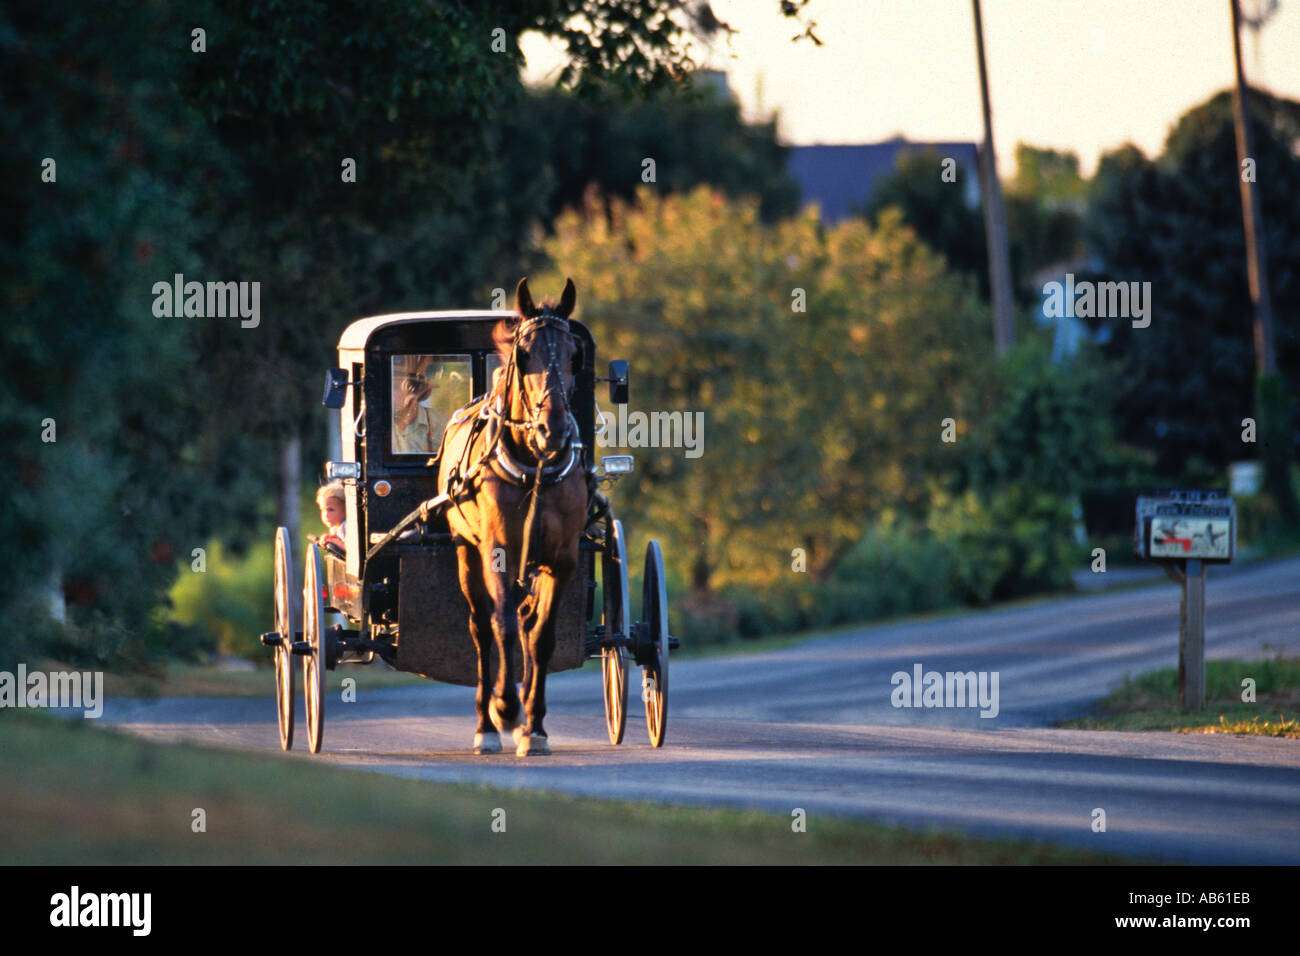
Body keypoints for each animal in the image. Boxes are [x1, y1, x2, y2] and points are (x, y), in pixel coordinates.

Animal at [436, 277, 590, 754]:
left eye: (575, 355)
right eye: (524, 354)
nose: (552, 431)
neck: (533, 463)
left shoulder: (562, 560)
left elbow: (541, 637)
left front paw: (534, 726)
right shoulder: (497, 550)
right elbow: (501, 625)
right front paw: (505, 708)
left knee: (526, 620)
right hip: (465, 550)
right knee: (482, 627)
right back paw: (486, 724)